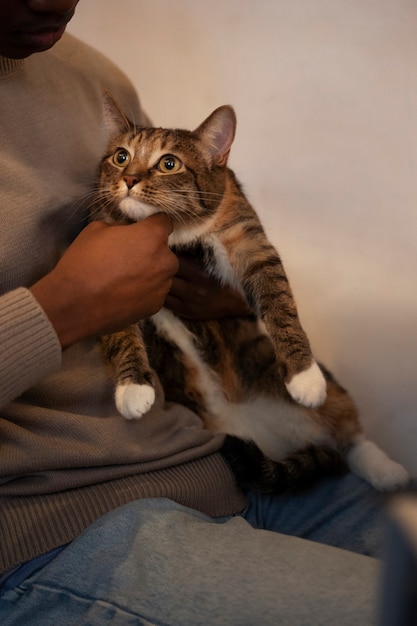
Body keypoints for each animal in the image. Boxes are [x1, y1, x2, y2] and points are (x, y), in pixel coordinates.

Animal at [92, 94, 408, 492]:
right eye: (121, 156)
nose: (129, 179)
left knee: (349, 438)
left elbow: (279, 304)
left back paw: (387, 471)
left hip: (276, 368)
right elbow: (118, 329)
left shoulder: (250, 246)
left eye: (169, 163)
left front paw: (305, 376)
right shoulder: (114, 272)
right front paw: (133, 389)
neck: (175, 236)